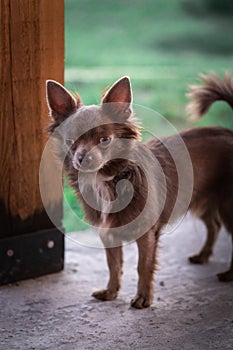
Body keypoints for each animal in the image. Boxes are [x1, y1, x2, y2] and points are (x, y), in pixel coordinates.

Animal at [45, 72, 233, 308]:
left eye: (105, 140)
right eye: (70, 141)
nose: (82, 158)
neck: (109, 180)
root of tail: (228, 132)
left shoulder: (147, 234)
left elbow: (143, 265)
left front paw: (143, 297)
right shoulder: (108, 234)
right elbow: (113, 265)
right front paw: (111, 292)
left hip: (226, 204)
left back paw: (229, 273)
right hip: (203, 199)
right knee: (213, 225)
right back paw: (203, 255)